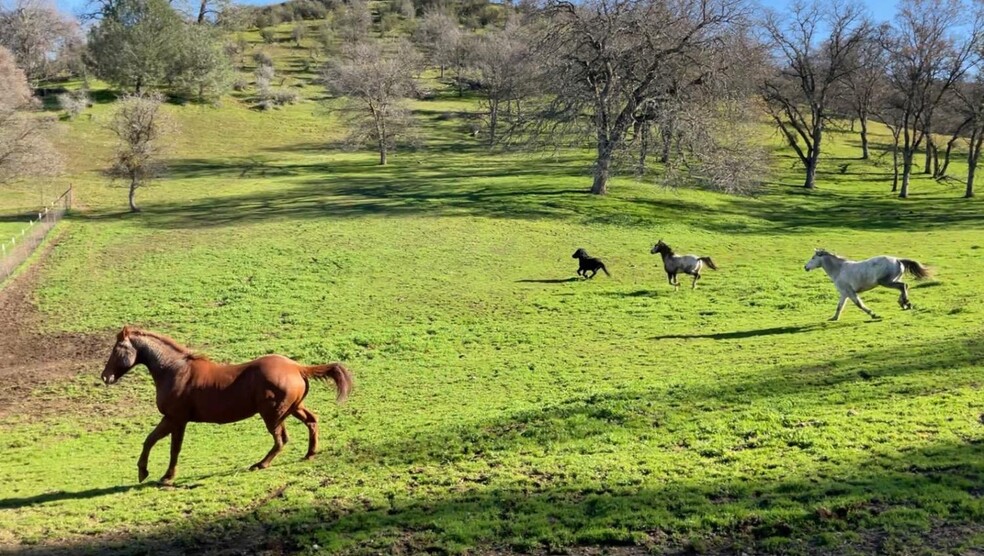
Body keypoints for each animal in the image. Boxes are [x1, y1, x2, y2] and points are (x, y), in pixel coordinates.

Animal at [100, 324, 352, 484]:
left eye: (118, 349)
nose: (105, 377)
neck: (175, 370)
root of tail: (298, 367)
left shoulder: (177, 419)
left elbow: (173, 448)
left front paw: (166, 477)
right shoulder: (171, 419)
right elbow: (150, 440)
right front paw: (143, 472)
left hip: (273, 414)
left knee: (281, 439)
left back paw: (260, 464)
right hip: (292, 408)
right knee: (311, 422)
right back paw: (309, 454)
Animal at [804, 249, 936, 322]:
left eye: (813, 258)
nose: (805, 267)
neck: (839, 270)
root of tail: (898, 260)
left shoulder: (850, 292)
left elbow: (859, 304)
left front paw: (873, 314)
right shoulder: (844, 293)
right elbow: (839, 306)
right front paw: (834, 318)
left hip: (885, 282)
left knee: (903, 286)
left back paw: (906, 303)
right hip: (892, 280)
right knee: (904, 286)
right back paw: (903, 303)